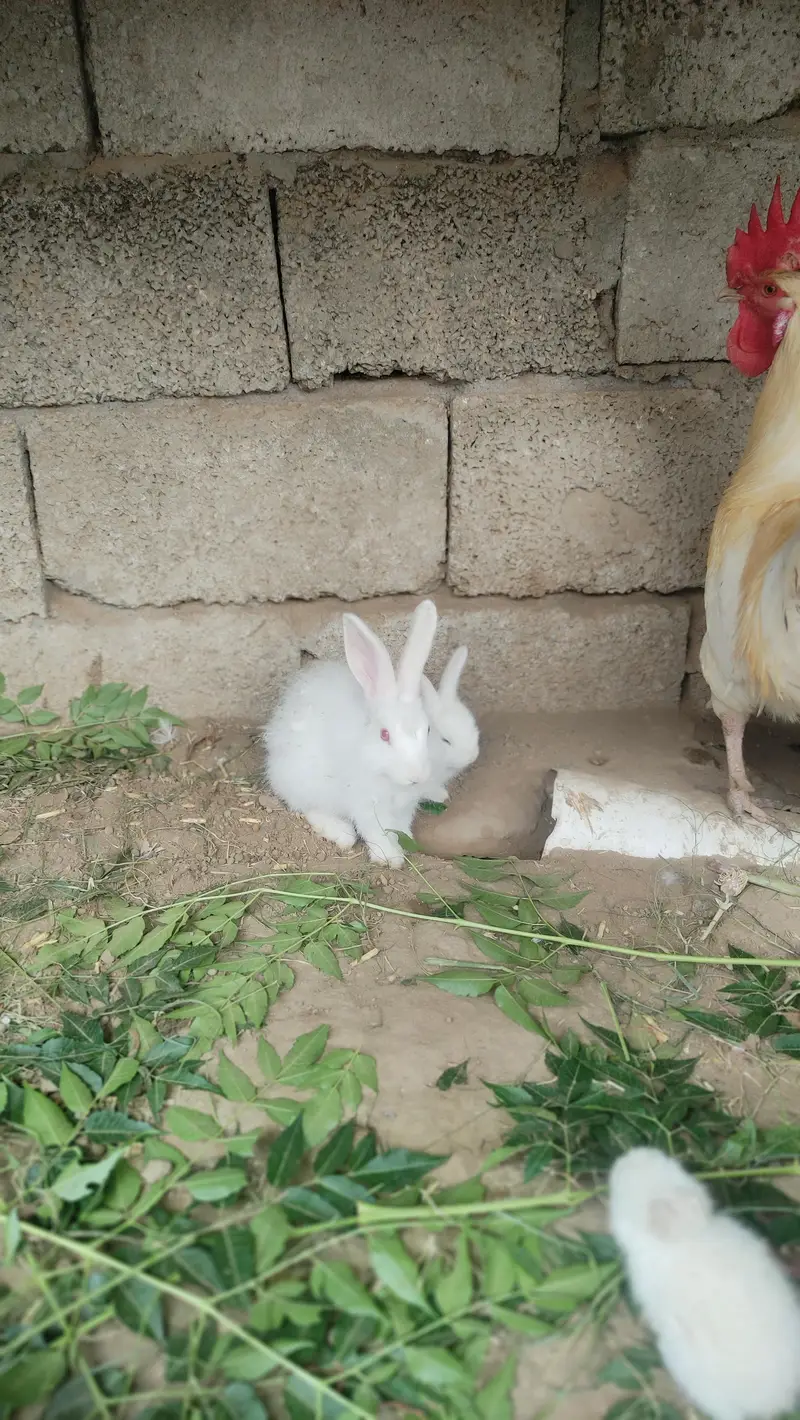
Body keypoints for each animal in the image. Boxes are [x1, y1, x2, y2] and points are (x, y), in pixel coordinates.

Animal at [263, 600, 438, 869]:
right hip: (307, 781)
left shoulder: (404, 808)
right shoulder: (365, 804)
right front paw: (389, 857)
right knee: (309, 808)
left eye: (428, 729)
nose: (416, 776)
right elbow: (375, 830)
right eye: (385, 735)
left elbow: (399, 829)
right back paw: (341, 833)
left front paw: (401, 846)